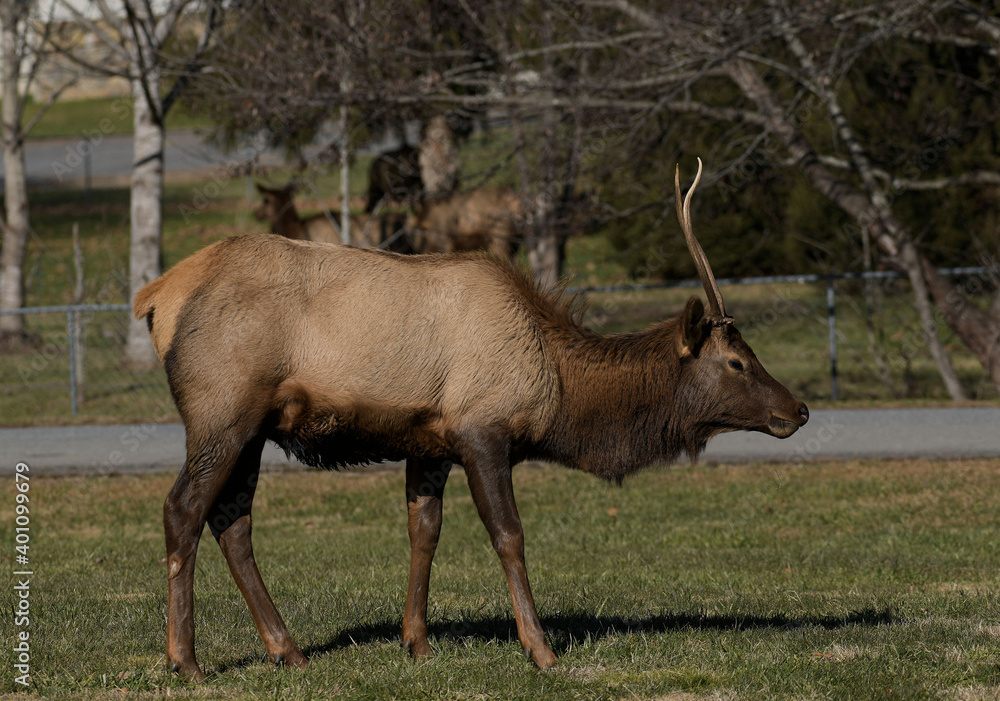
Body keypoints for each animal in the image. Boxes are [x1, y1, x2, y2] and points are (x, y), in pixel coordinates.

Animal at [133, 159, 808, 680]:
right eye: (736, 361)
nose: (797, 409)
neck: (557, 388)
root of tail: (156, 297)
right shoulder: (482, 430)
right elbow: (508, 534)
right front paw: (541, 650)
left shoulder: (428, 441)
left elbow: (423, 532)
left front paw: (418, 643)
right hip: (223, 410)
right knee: (183, 509)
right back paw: (185, 660)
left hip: (253, 429)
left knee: (232, 520)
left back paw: (288, 651)